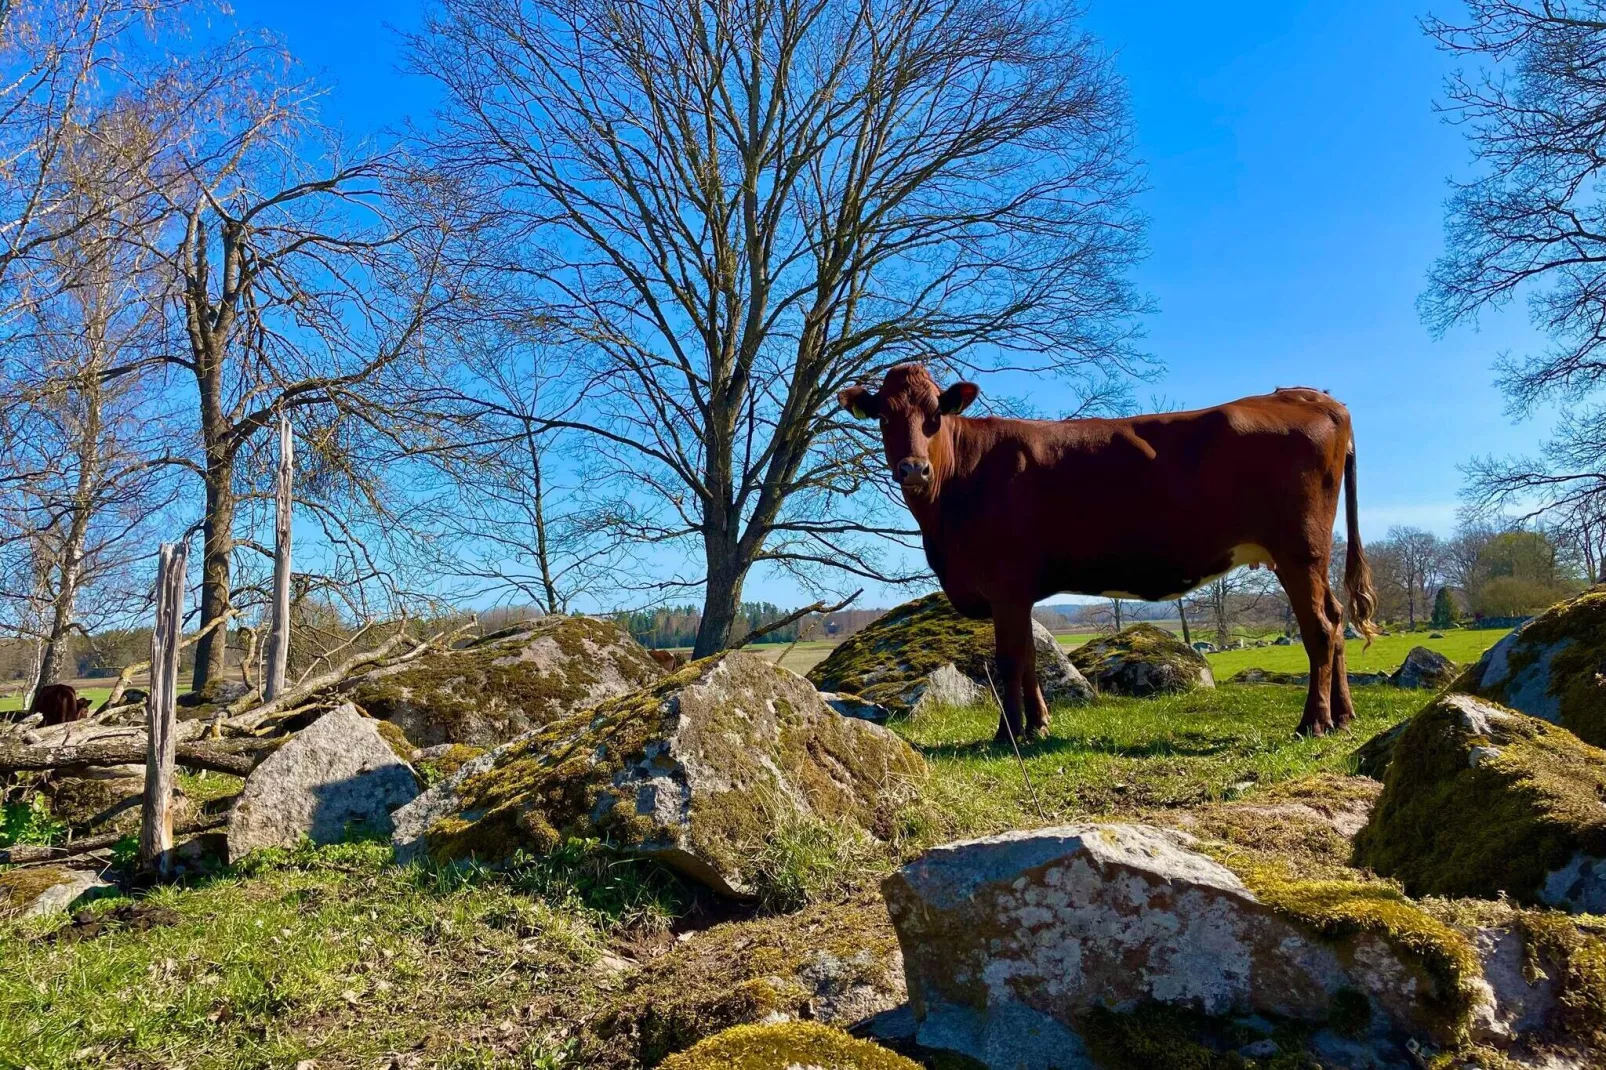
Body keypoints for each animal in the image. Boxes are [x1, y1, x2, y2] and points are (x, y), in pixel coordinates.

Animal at [841, 363, 1381, 739]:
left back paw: (1314, 722)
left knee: (1320, 628)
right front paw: (1038, 726)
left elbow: (1010, 660)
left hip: (1298, 550)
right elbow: (1031, 656)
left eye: (935, 415)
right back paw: (1344, 716)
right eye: (884, 416)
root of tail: (1308, 395)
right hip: (1310, 557)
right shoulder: (1019, 592)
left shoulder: (1005, 584)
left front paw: (1007, 733)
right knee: (1336, 620)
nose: (913, 469)